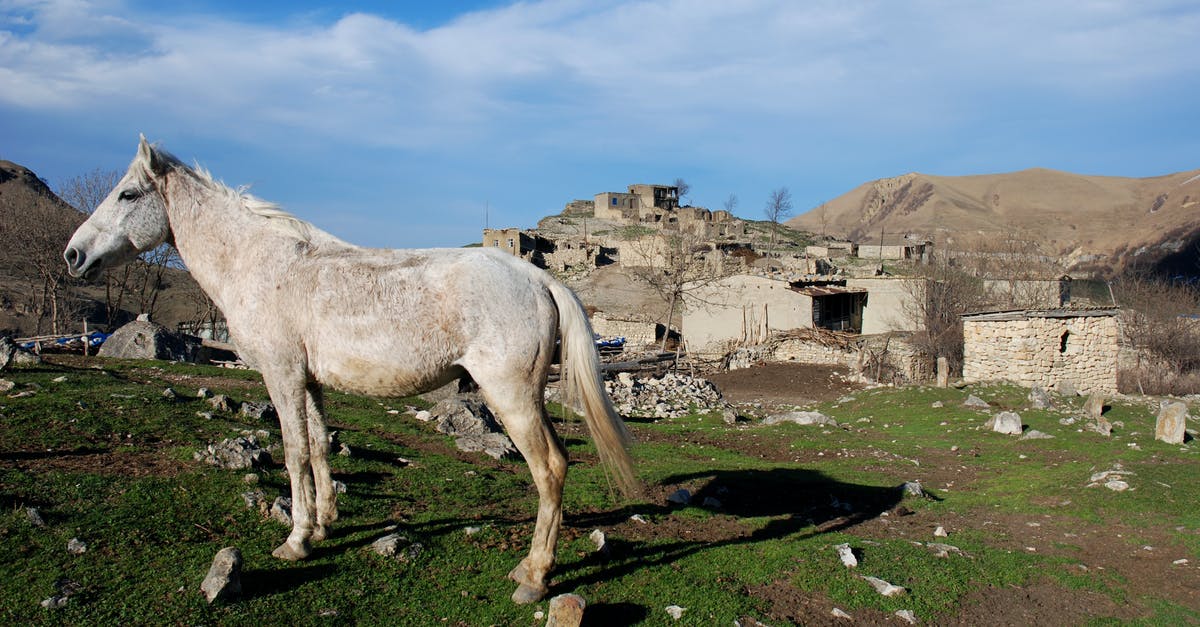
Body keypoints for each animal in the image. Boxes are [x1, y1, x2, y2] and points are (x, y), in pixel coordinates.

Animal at [64, 136, 638, 600]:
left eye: (128, 195)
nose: (73, 255)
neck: (261, 263)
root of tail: (539, 278)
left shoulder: (281, 376)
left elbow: (293, 453)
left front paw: (296, 541)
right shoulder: (308, 382)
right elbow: (319, 446)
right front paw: (323, 526)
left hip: (510, 396)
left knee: (550, 468)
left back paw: (534, 577)